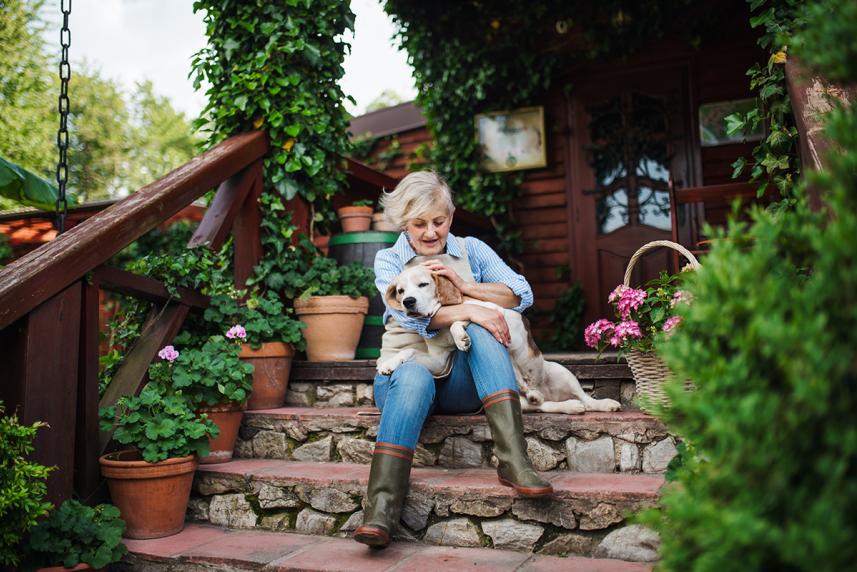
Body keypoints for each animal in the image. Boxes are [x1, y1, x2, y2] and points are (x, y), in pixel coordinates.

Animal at [378, 266, 620, 414]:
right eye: (400, 291)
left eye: (423, 285)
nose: (408, 302)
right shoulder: (437, 362)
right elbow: (408, 351)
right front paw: (389, 364)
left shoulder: (497, 315)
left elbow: (464, 318)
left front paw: (461, 337)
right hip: (527, 400)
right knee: (542, 404)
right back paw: (552, 401)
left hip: (562, 371)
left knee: (587, 400)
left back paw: (604, 404)